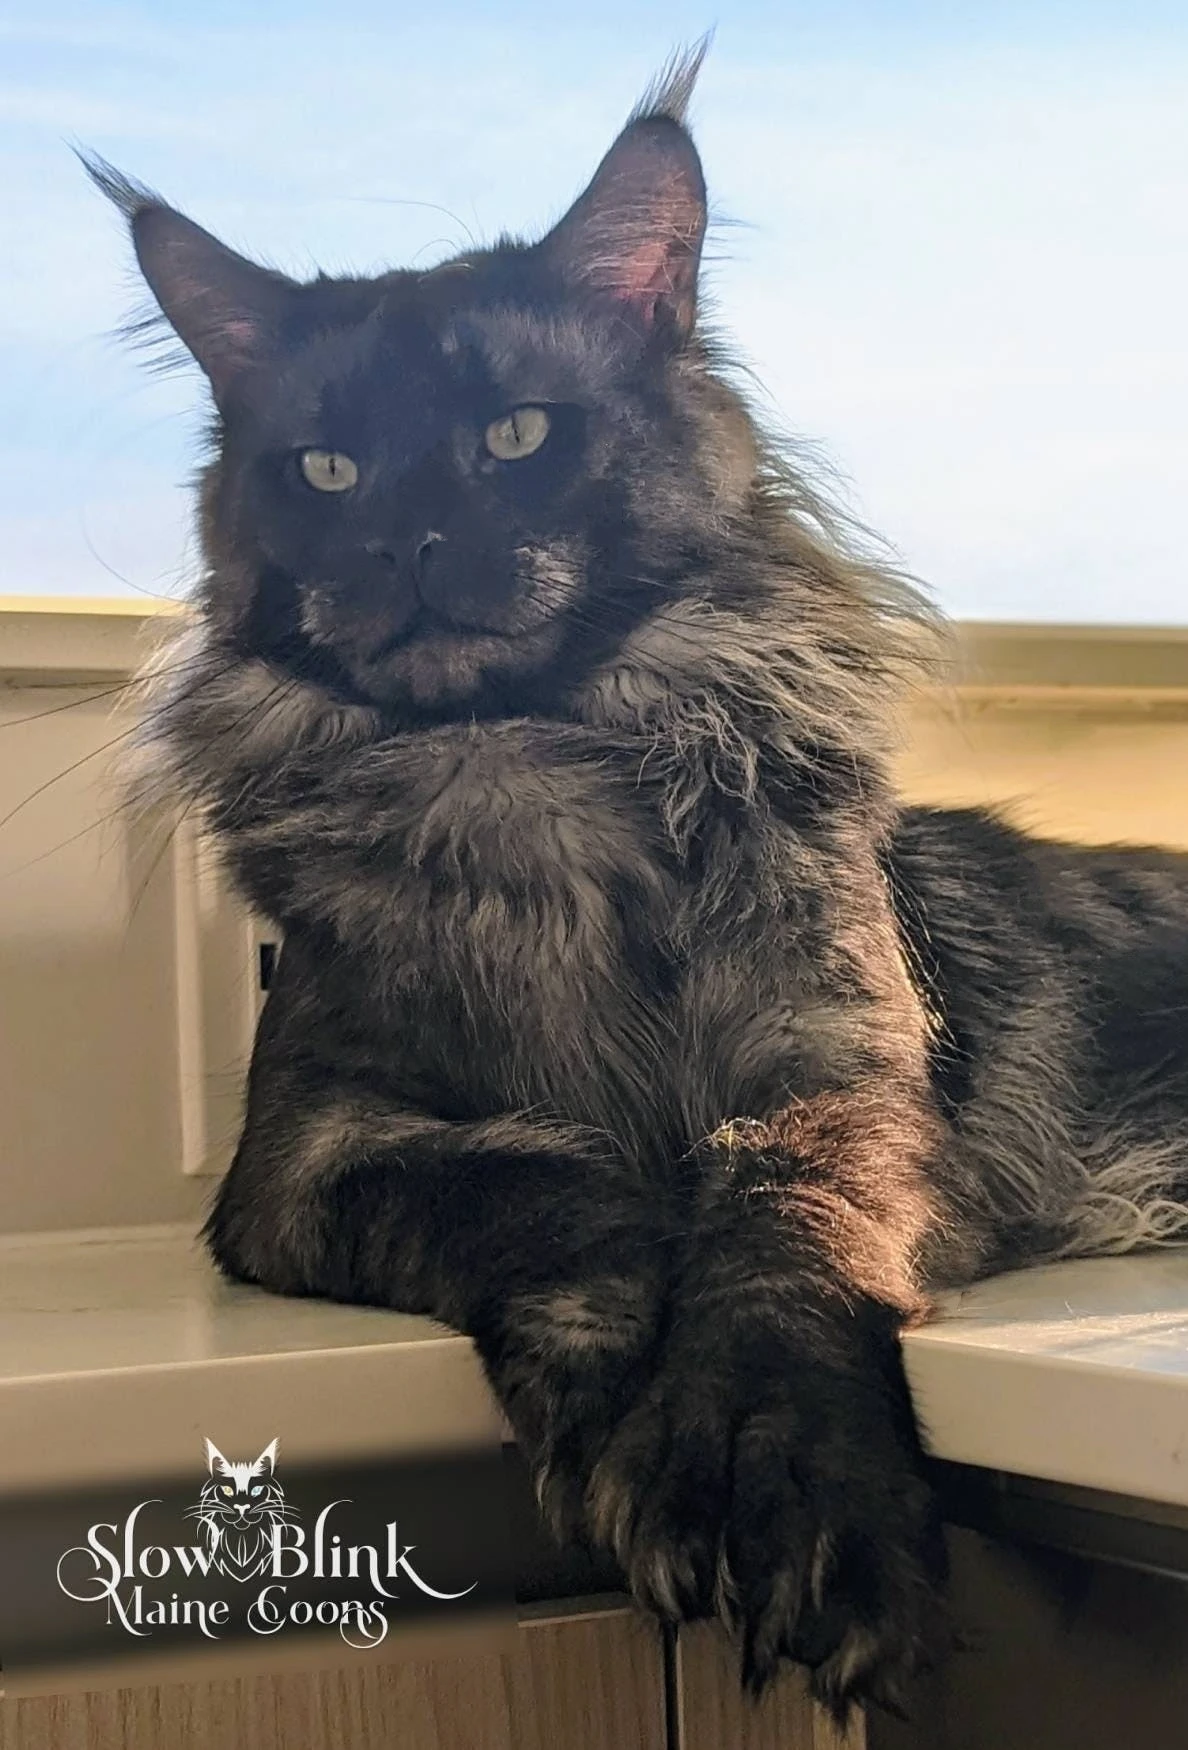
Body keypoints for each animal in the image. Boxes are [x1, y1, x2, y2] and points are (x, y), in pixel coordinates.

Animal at [88, 47, 1188, 1715]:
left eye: (514, 435)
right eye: (326, 468)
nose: (410, 537)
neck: (527, 774)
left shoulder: (832, 1073)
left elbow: (778, 1223)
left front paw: (781, 1471)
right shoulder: (308, 1152)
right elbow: (556, 1187)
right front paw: (626, 1407)